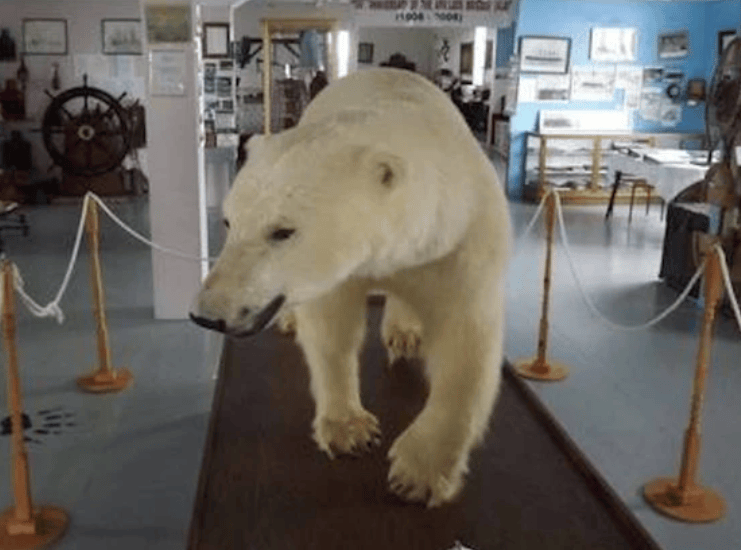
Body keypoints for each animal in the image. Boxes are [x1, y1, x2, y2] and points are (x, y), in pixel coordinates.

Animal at [191, 67, 511, 507]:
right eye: (228, 221)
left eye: (282, 230)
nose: (206, 314)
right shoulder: (338, 273)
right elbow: (331, 330)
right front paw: (348, 429)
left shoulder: (462, 241)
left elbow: (466, 340)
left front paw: (419, 473)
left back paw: (404, 333)